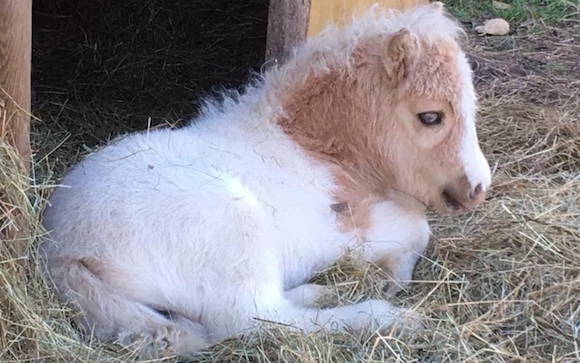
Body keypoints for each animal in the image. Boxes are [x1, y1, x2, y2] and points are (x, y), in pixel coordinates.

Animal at [40, 2, 492, 362]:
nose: (478, 189)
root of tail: (62, 249)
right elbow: (418, 230)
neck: (318, 151)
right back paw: (385, 317)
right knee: (256, 319)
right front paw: (390, 280)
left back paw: (319, 292)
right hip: (233, 225)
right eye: (430, 116)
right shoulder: (345, 232)